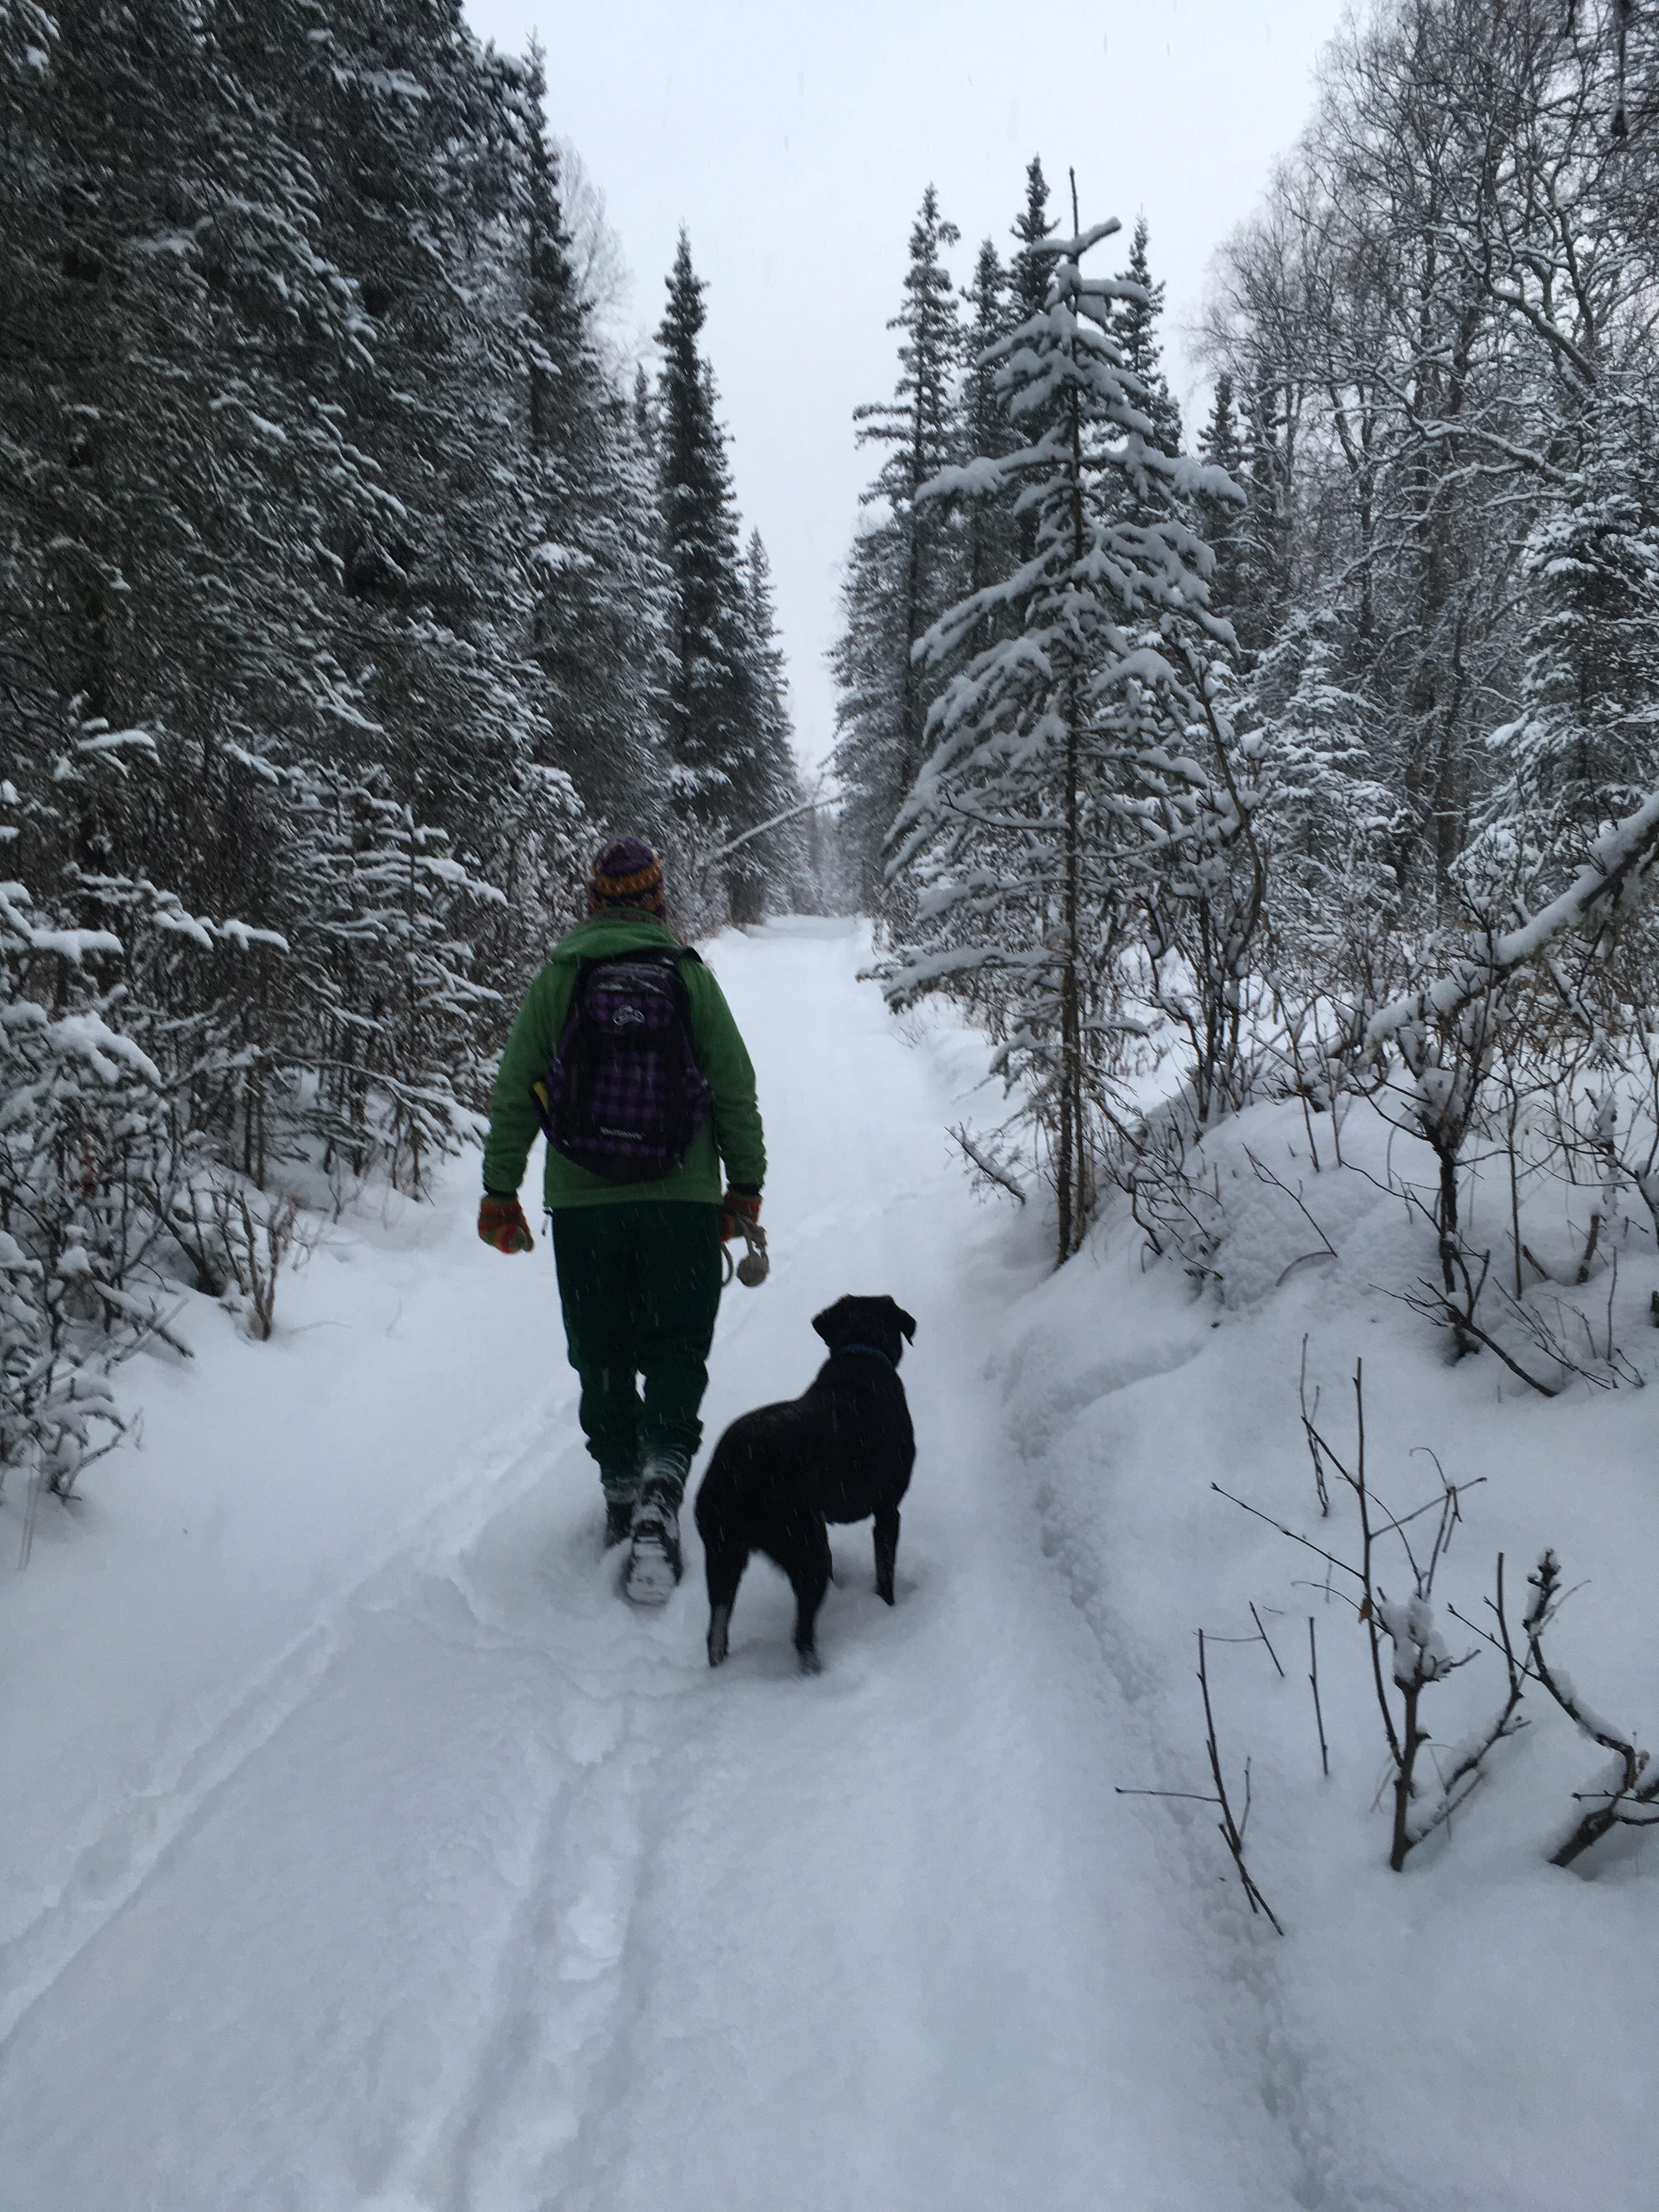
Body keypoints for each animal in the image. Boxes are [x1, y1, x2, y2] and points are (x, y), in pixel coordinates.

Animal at [690, 1291, 916, 1663]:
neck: (862, 1349)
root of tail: (733, 1473)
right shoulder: (888, 1509)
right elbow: (885, 1572)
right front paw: (888, 1608)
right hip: (804, 1547)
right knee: (802, 1634)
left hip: (723, 1551)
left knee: (716, 1629)